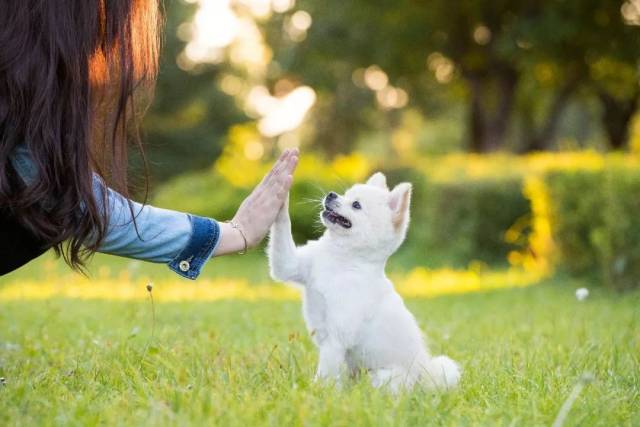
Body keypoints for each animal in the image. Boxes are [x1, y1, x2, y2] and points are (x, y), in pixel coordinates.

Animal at [266, 172, 460, 392]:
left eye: (356, 205)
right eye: (345, 194)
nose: (331, 194)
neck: (341, 259)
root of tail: (422, 376)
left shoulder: (336, 339)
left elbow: (325, 372)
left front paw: (317, 392)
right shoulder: (290, 265)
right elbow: (283, 230)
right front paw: (279, 195)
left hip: (385, 376)